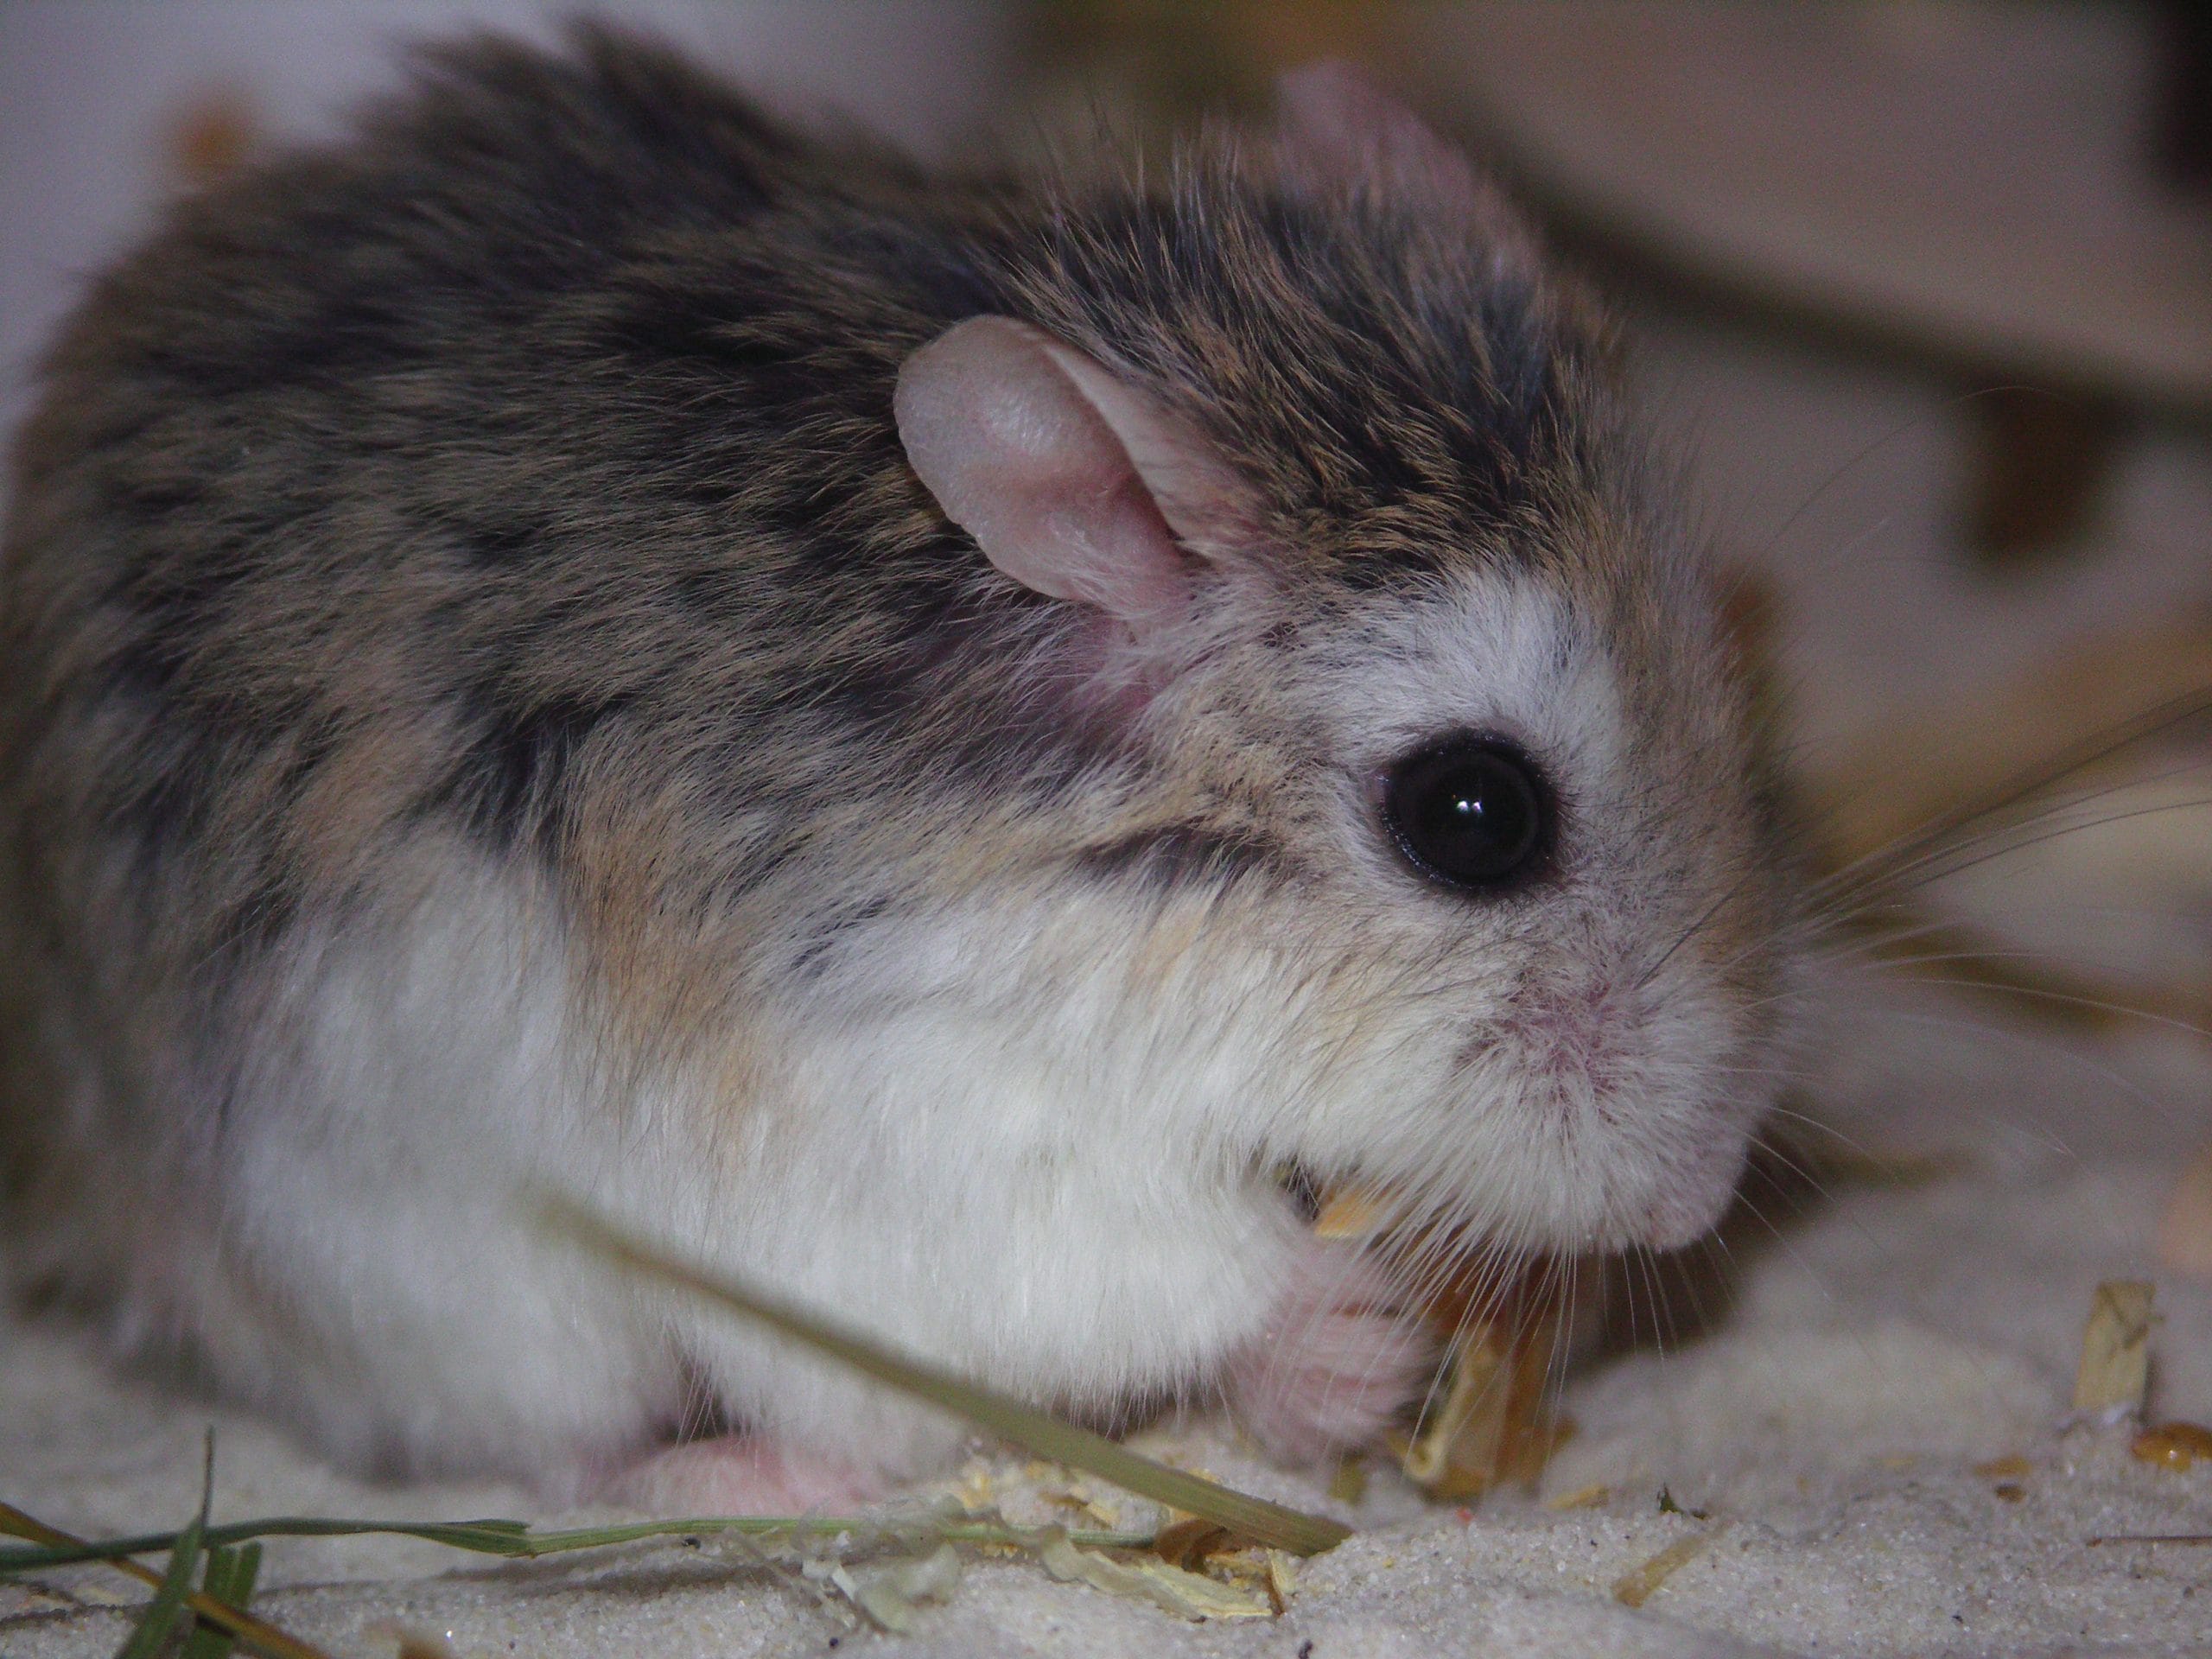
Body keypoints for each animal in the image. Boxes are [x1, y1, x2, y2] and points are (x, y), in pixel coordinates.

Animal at [0, 28, 1801, 1509]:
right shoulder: (941, 1136)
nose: (1694, 1203)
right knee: (613, 1445)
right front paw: (1354, 1335)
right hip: (443, 1285)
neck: (1103, 887)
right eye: (1474, 818)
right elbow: (1183, 1274)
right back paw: (711, 1481)